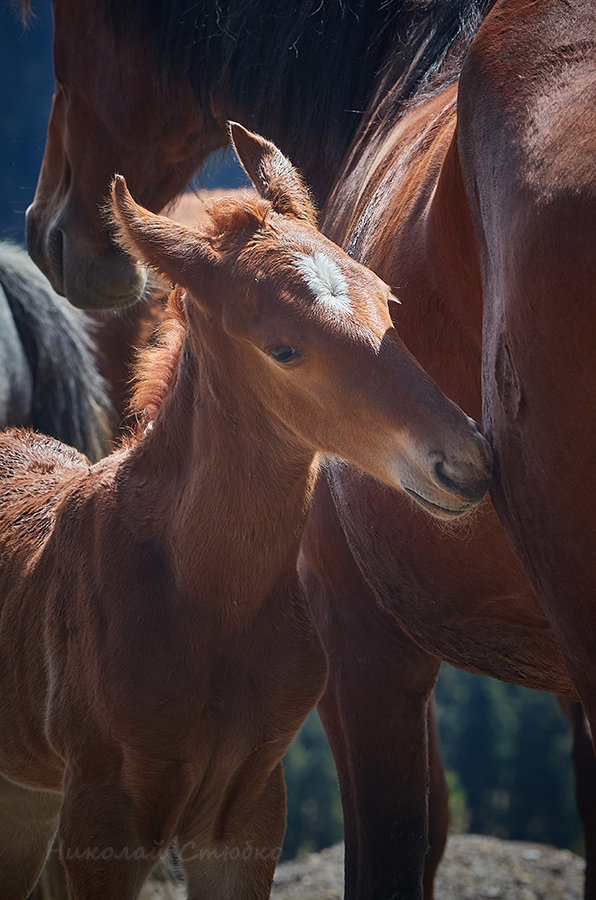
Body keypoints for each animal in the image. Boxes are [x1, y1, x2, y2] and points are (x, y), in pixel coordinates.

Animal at [1, 126, 494, 900]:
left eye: (387, 300)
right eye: (283, 348)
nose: (467, 462)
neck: (208, 601)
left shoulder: (247, 815)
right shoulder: (103, 818)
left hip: (25, 799)